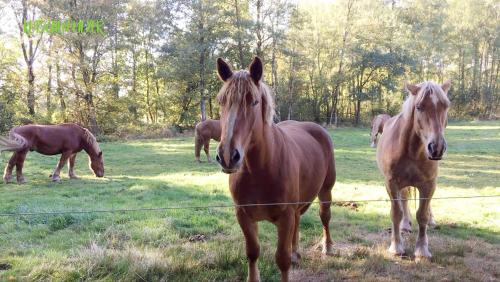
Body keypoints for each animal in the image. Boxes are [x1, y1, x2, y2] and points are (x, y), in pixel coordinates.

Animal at [214, 56, 334, 280]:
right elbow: (252, 252)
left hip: (326, 191)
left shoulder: (284, 217)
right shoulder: (243, 215)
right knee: (299, 219)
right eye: (221, 102)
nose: (227, 156)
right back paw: (296, 252)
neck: (259, 171)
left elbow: (282, 259)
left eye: (254, 101)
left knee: (325, 216)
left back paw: (328, 247)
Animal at [376, 80, 452, 262]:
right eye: (419, 107)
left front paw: (422, 250)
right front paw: (396, 247)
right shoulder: (392, 183)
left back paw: (431, 221)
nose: (436, 148)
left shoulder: (429, 184)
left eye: (446, 106)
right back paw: (405, 225)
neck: (412, 152)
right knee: (404, 201)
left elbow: (422, 214)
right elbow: (396, 212)